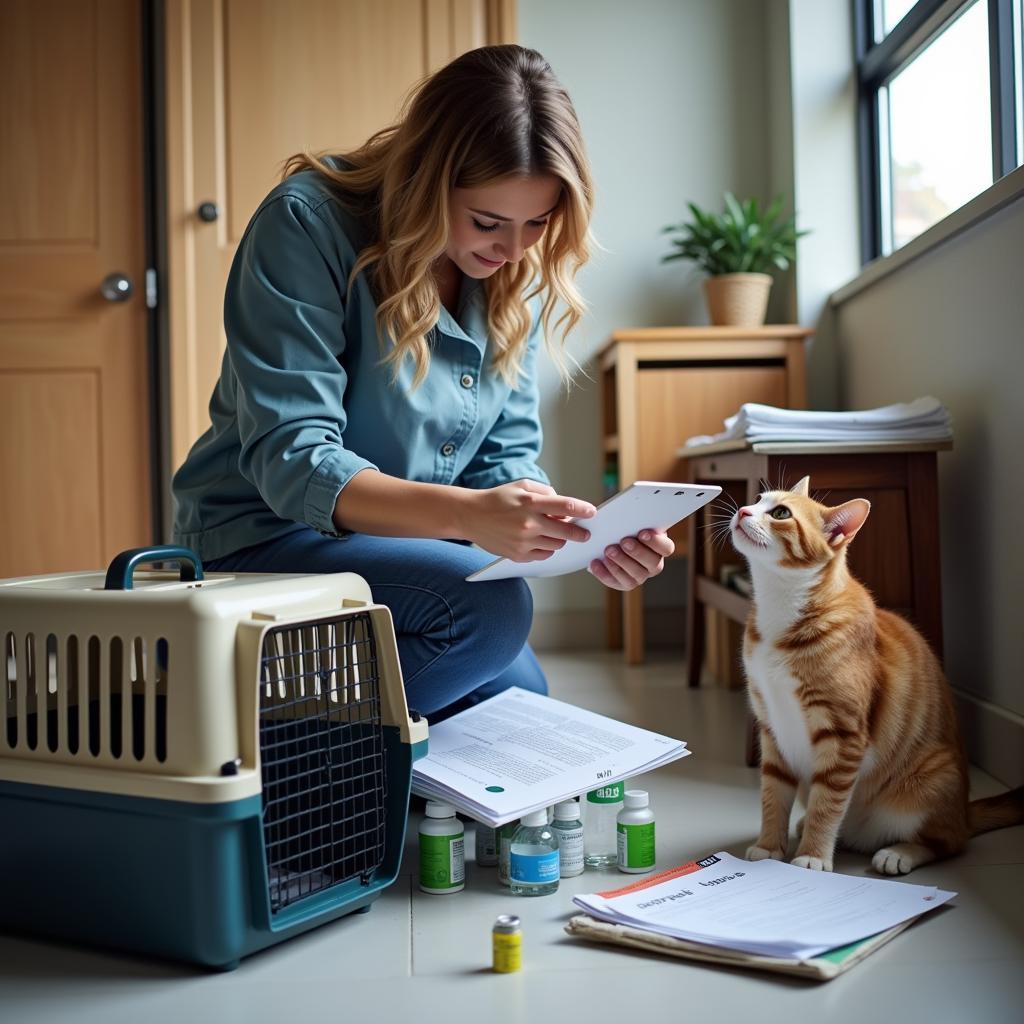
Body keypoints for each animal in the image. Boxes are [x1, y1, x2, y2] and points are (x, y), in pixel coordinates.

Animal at [729, 477, 1024, 872]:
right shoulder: (772, 726)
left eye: (780, 513)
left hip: (934, 780)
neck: (781, 610)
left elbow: (827, 802)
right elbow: (773, 794)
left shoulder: (843, 734)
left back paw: (899, 853)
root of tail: (964, 812)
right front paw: (769, 846)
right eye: (758, 499)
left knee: (948, 842)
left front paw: (811, 855)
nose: (743, 511)